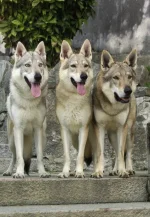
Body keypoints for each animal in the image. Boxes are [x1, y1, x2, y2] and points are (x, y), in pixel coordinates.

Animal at [2, 40, 49, 178]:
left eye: (40, 65)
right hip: (12, 140)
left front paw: (42, 172)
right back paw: (9, 171)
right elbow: (19, 158)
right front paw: (19, 173)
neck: (29, 100)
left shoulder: (38, 129)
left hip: (43, 137)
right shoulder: (19, 129)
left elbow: (39, 156)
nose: (38, 76)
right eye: (27, 65)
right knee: (13, 156)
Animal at [56, 39, 94, 178]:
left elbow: (80, 156)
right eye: (73, 66)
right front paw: (65, 172)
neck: (74, 99)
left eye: (85, 66)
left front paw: (80, 172)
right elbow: (67, 156)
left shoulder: (83, 129)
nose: (83, 76)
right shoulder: (64, 129)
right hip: (74, 140)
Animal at [91, 49, 137, 178]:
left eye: (129, 77)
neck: (113, 108)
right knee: (116, 151)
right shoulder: (99, 128)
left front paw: (123, 171)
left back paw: (129, 169)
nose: (128, 90)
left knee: (128, 152)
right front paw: (98, 171)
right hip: (112, 135)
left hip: (129, 132)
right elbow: (101, 152)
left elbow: (122, 153)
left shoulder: (122, 128)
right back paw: (114, 170)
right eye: (116, 77)